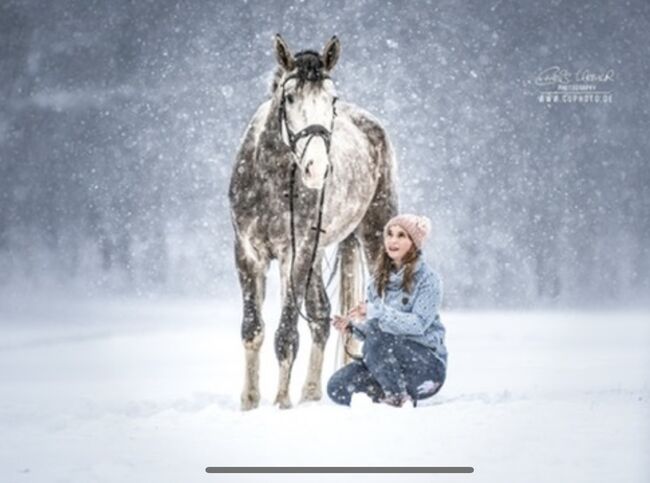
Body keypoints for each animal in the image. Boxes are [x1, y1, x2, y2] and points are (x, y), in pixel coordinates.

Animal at [228, 34, 400, 410]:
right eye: (290, 97)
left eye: (331, 99)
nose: (317, 168)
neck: (272, 178)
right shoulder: (248, 253)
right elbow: (253, 329)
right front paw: (249, 402)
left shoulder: (295, 254)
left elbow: (286, 334)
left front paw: (281, 403)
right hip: (318, 253)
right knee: (321, 316)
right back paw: (310, 393)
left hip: (373, 232)